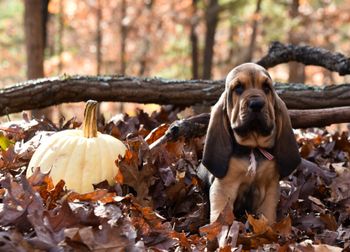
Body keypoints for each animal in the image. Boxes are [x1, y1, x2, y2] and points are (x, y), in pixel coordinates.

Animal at [200, 63, 300, 224]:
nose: (256, 104)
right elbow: (220, 216)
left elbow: (267, 217)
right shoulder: (223, 188)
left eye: (266, 87)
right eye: (238, 88)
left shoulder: (270, 189)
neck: (253, 147)